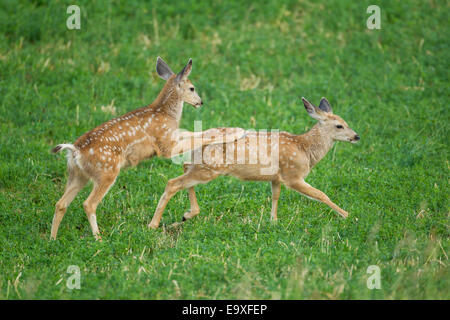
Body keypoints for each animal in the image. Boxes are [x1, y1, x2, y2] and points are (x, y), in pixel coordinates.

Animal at [51, 57, 244, 240]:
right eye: (192, 88)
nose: (200, 102)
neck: (165, 114)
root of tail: (75, 150)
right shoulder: (165, 145)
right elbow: (197, 137)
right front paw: (235, 132)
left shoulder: (172, 135)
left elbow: (194, 133)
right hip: (106, 171)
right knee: (88, 204)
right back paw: (98, 239)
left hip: (78, 175)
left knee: (61, 203)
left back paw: (52, 239)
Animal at [149, 96, 360, 229]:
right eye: (339, 125)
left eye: (346, 122)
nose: (356, 136)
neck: (304, 148)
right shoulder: (293, 175)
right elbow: (320, 194)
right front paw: (347, 215)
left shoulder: (276, 177)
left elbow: (275, 196)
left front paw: (273, 221)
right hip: (209, 168)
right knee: (173, 183)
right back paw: (154, 224)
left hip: (200, 165)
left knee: (183, 173)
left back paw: (186, 215)